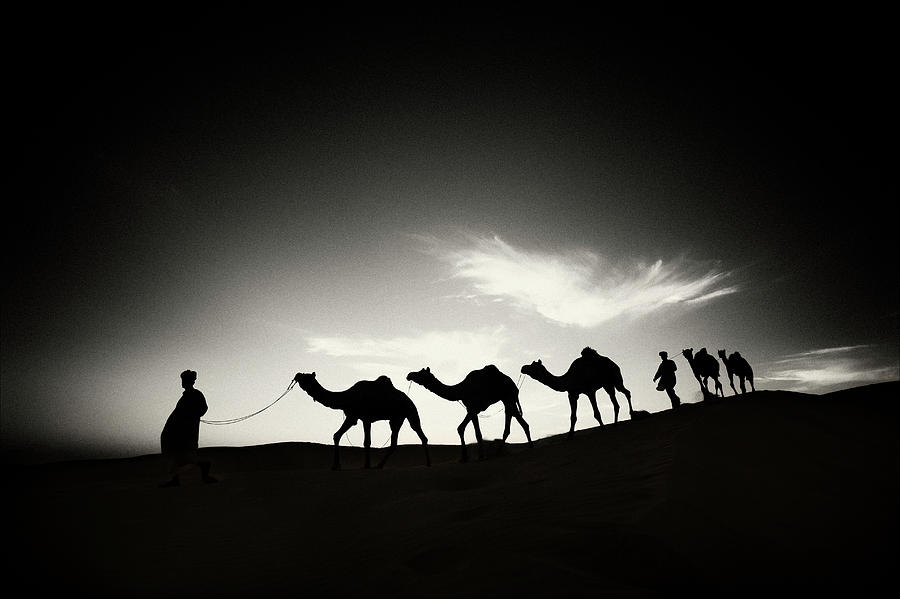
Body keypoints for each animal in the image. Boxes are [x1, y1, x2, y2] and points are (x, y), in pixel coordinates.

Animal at [290, 372, 428, 472]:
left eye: (306, 377)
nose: (297, 375)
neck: (347, 397)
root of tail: (409, 399)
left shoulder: (365, 418)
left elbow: (367, 442)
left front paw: (366, 465)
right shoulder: (352, 417)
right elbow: (337, 435)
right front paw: (335, 466)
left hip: (408, 412)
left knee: (417, 432)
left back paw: (427, 463)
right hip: (397, 418)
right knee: (400, 440)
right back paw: (381, 465)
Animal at [408, 364, 536, 462]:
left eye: (421, 373)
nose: (409, 375)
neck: (460, 390)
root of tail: (513, 383)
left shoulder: (473, 408)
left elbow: (476, 433)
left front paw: (480, 457)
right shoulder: (471, 409)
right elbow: (461, 428)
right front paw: (464, 458)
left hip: (508, 396)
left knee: (512, 418)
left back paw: (501, 452)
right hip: (508, 399)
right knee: (517, 418)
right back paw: (528, 447)